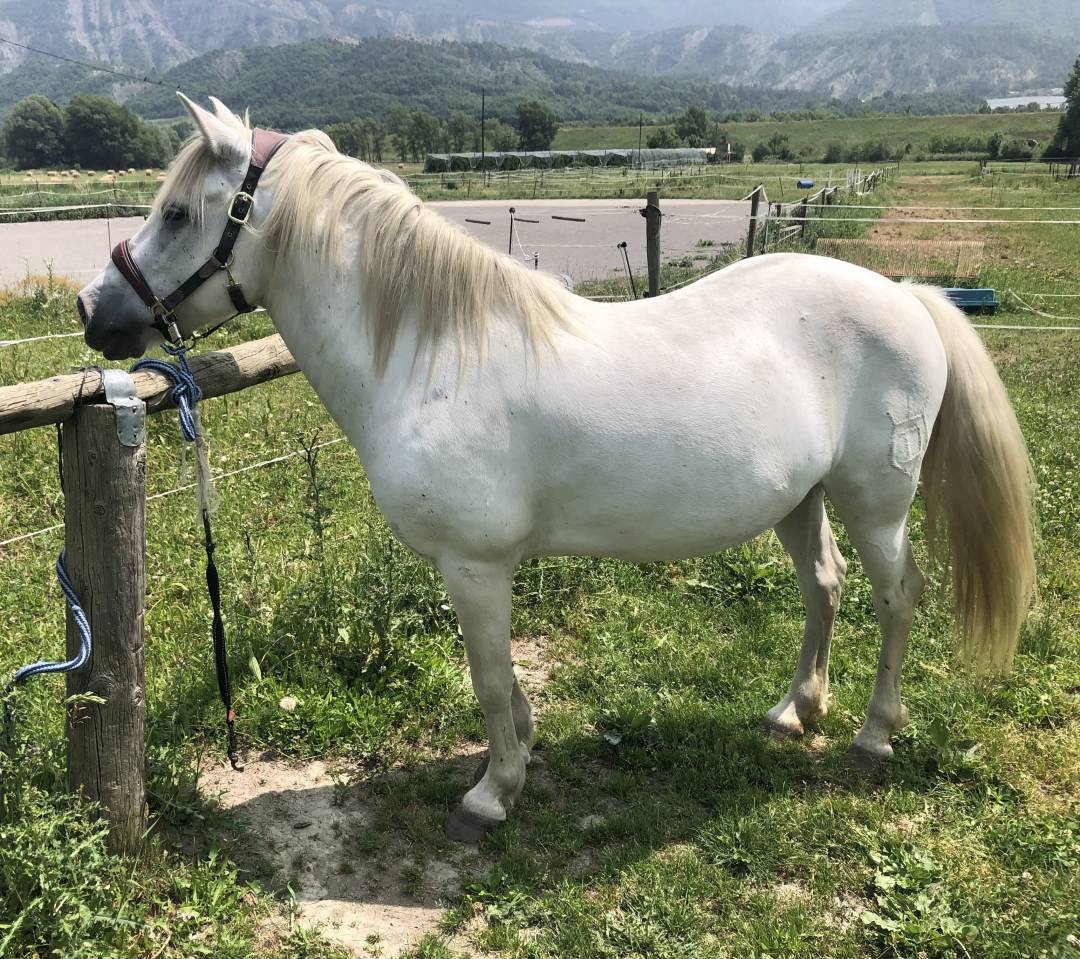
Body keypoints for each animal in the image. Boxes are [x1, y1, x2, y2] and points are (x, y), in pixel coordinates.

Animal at [76, 95, 1035, 841]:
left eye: (177, 214)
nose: (92, 310)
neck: (432, 353)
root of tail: (907, 295)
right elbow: (504, 681)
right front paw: (525, 750)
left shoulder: (475, 566)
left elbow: (490, 678)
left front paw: (492, 793)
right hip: (801, 498)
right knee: (824, 586)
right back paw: (796, 708)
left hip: (877, 503)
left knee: (896, 595)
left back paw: (874, 734)